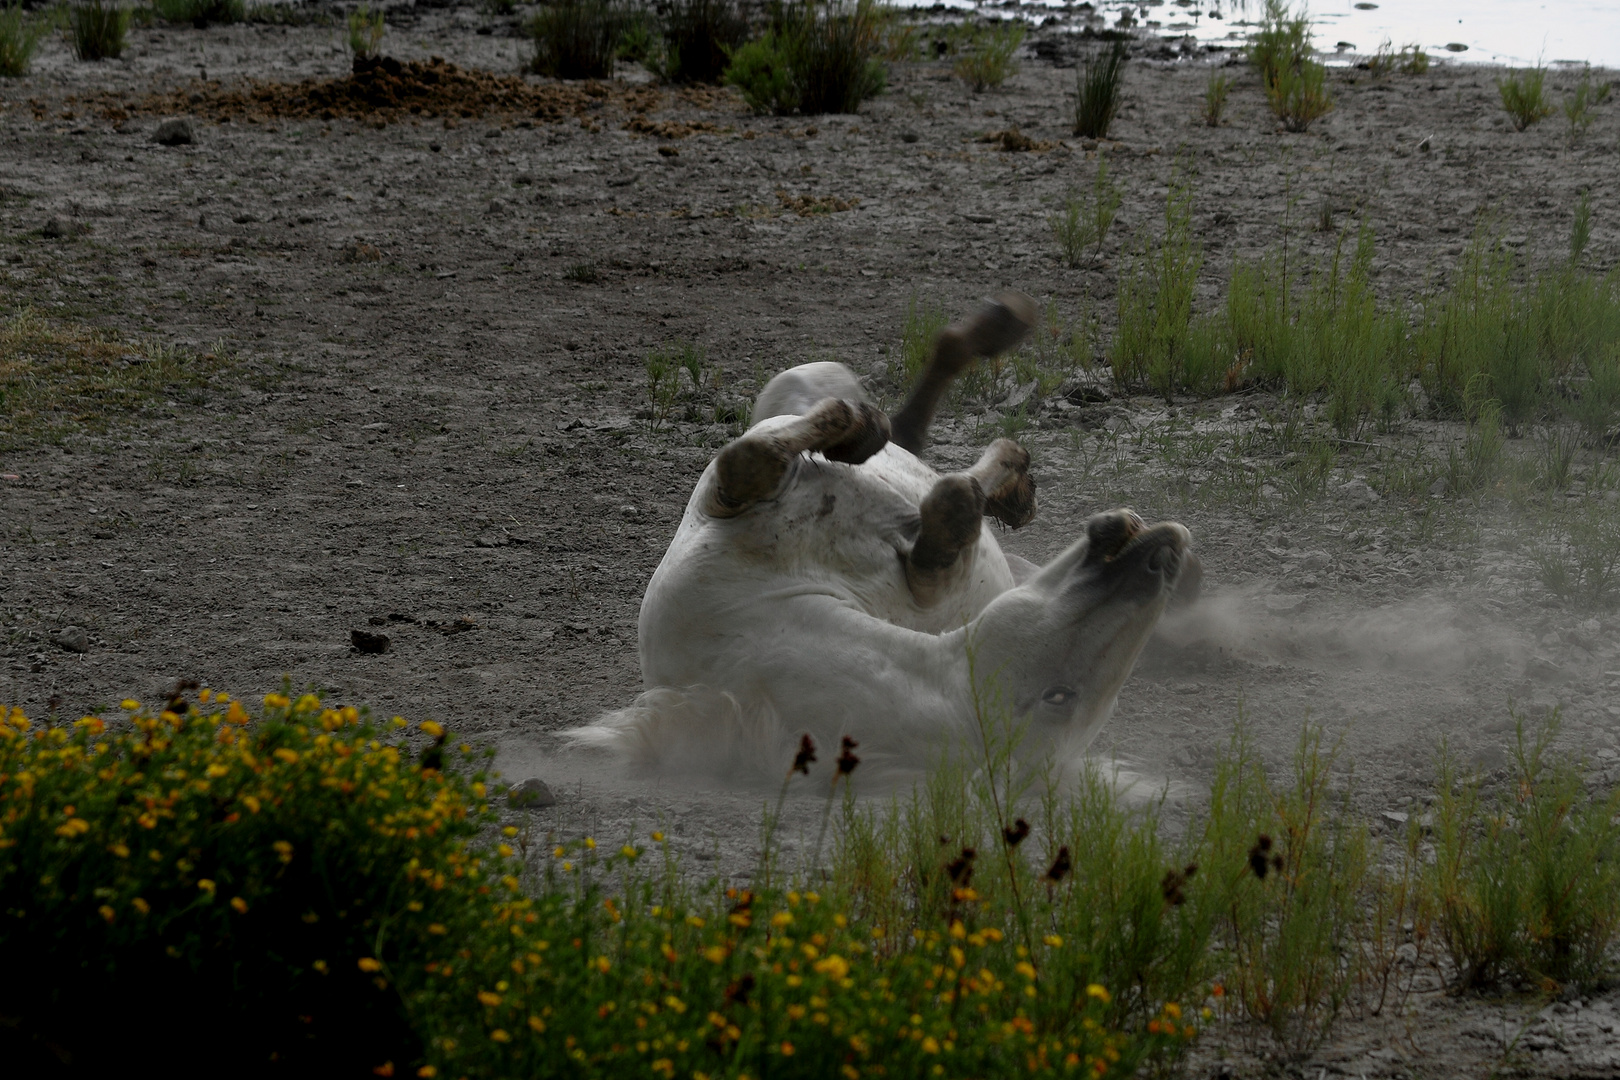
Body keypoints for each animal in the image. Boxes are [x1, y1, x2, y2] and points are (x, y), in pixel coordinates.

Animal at [576, 296, 1198, 780]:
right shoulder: (722, 501)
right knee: (905, 426)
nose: (1163, 556)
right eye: (1060, 698)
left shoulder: (930, 587)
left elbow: (946, 506)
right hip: (797, 385)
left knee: (922, 434)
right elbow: (753, 459)